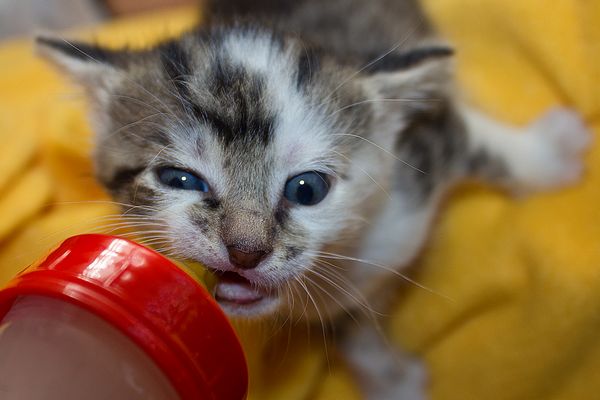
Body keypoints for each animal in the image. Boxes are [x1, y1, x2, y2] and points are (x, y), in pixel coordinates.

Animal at [38, 0, 592, 396]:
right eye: (180, 179)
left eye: (307, 189)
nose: (246, 251)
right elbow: (356, 335)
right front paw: (393, 384)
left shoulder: (423, 146)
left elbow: (477, 141)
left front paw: (550, 156)